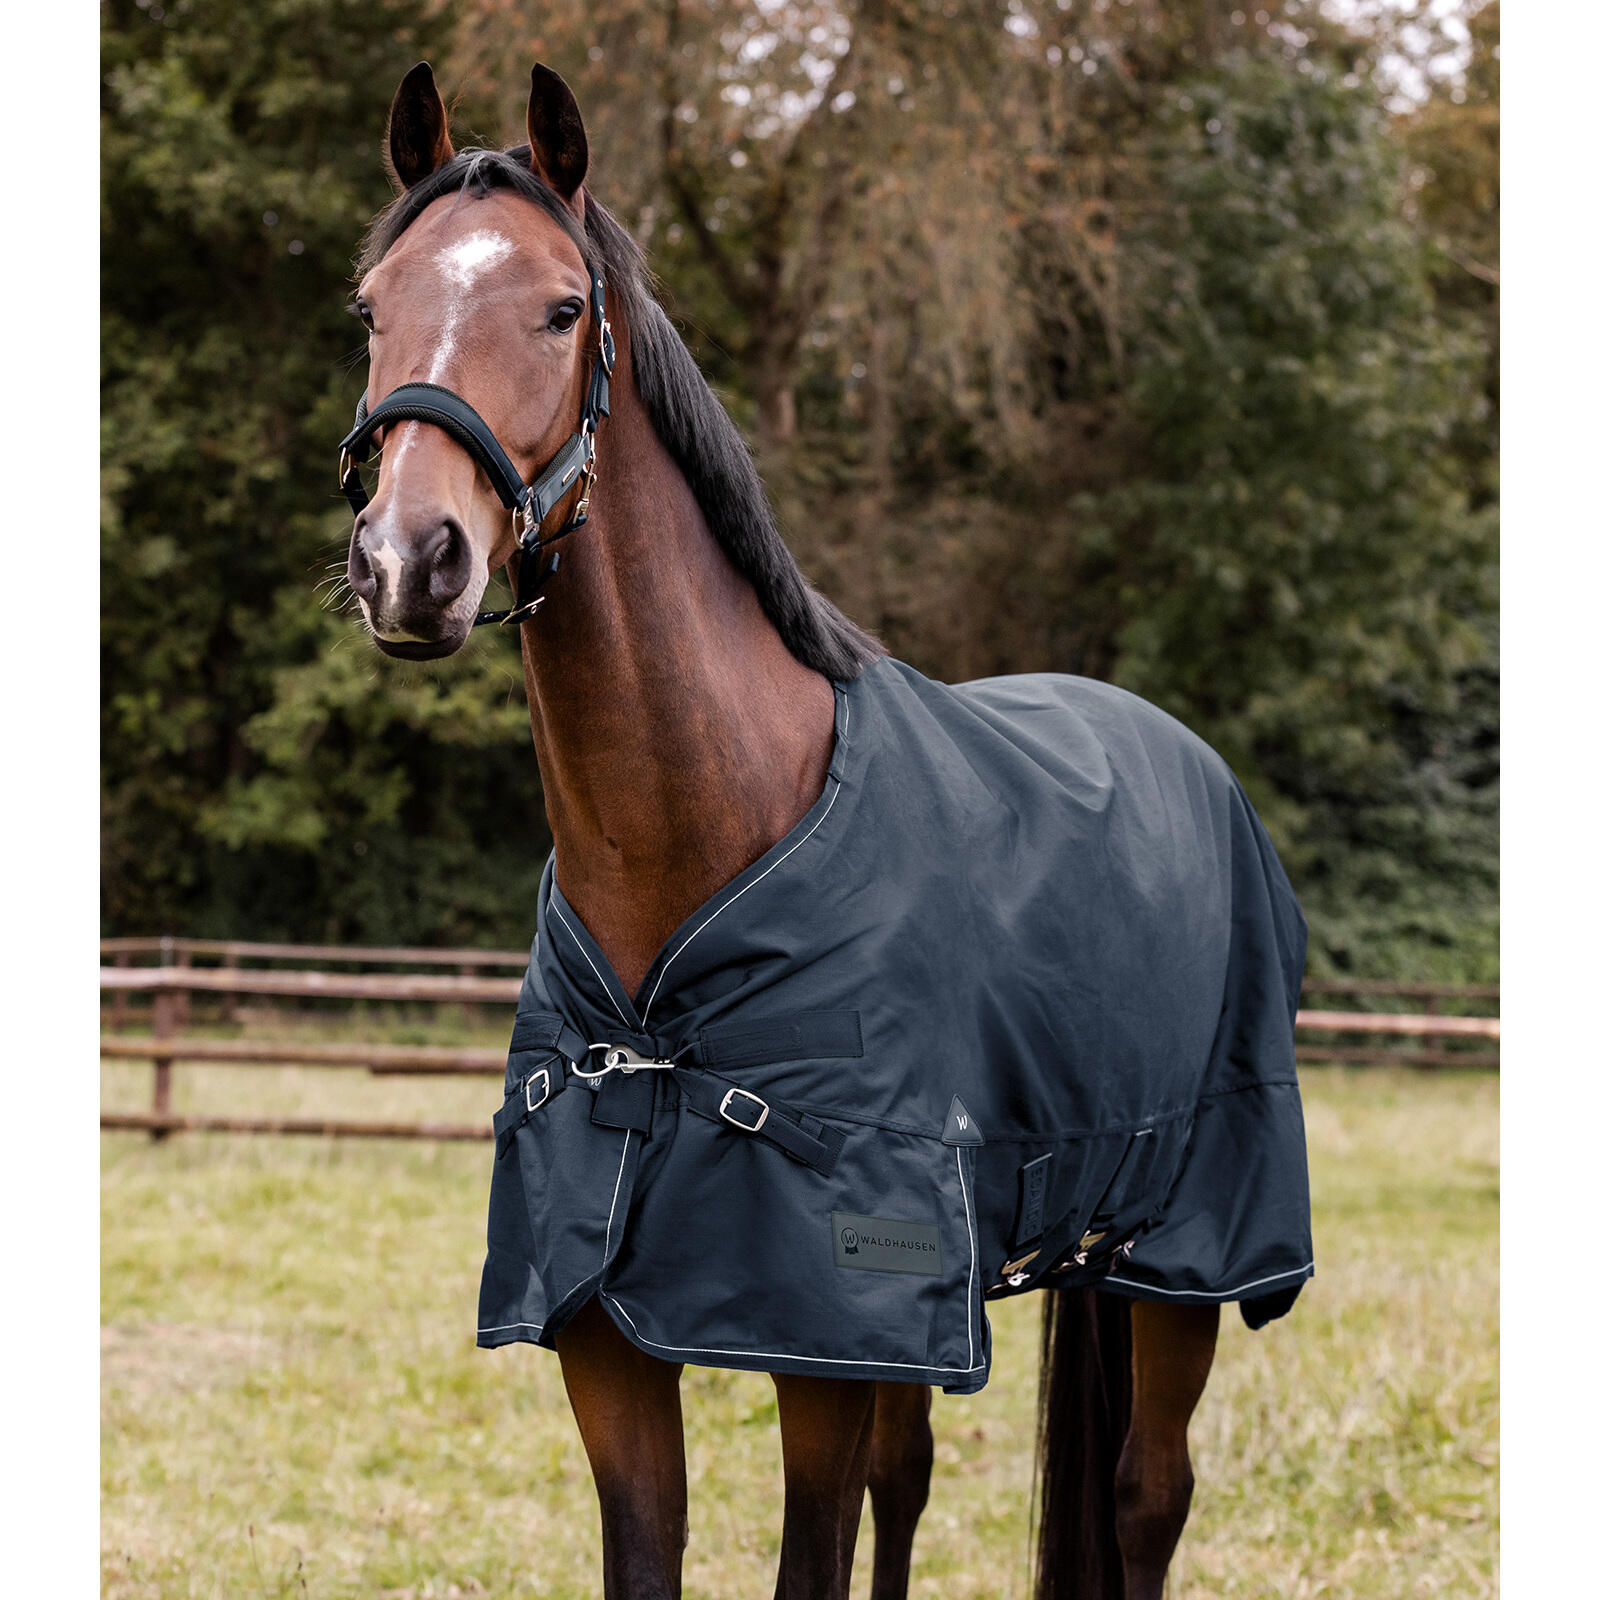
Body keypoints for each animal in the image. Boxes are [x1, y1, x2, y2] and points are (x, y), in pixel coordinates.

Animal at [336, 61, 1311, 1600]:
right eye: (373, 307)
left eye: (559, 309)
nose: (409, 562)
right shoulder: (614, 1336)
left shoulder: (826, 1342)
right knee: (917, 1483)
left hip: (1181, 1250)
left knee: (1148, 1494)